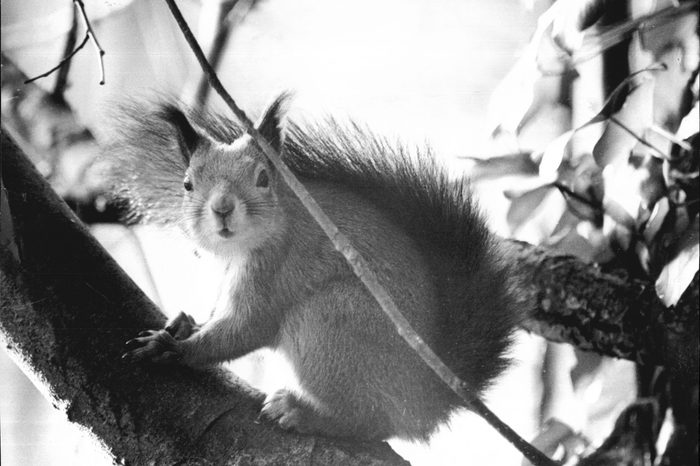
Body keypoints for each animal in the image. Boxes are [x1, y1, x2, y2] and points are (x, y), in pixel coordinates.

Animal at [111, 94, 521, 442]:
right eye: (187, 184)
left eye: (263, 178)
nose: (222, 208)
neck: (239, 250)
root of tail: (426, 398)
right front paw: (184, 324)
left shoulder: (272, 271)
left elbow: (244, 329)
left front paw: (173, 349)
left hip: (328, 321)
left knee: (372, 423)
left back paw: (305, 413)